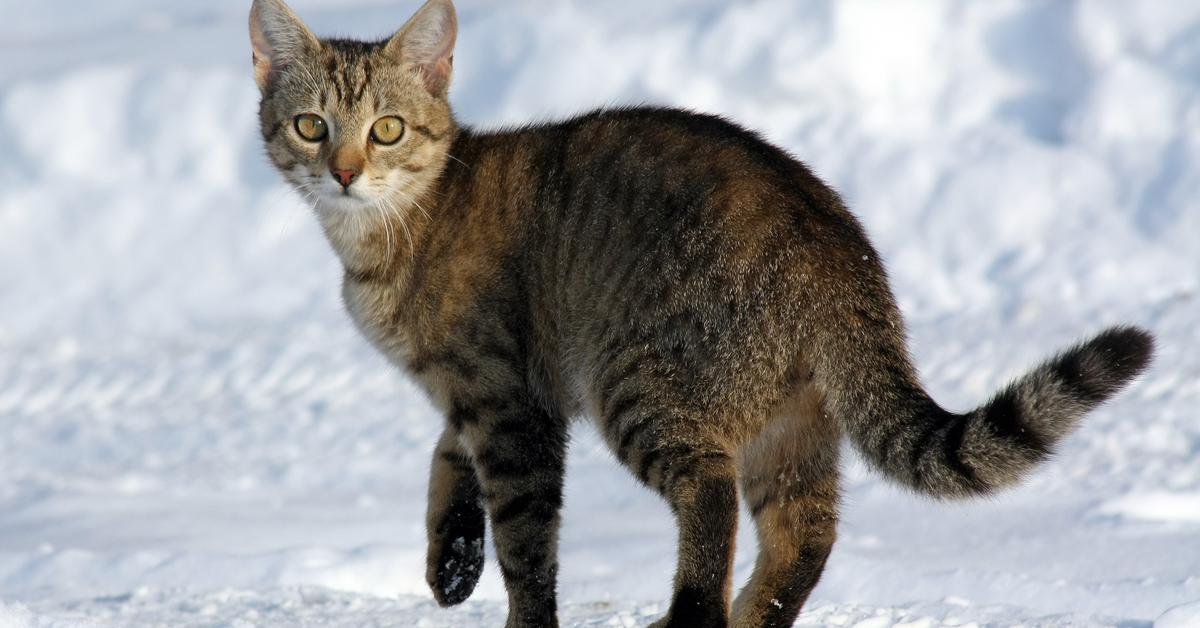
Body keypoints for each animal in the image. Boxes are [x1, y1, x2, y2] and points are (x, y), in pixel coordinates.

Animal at [250, 2, 1152, 624]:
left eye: (387, 129)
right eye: (311, 125)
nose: (344, 171)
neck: (396, 229)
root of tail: (837, 250)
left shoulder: (510, 403)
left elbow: (527, 545)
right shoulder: (488, 396)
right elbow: (448, 462)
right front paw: (451, 559)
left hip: (641, 384)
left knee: (711, 498)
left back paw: (690, 615)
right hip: (792, 424)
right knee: (804, 537)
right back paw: (748, 615)